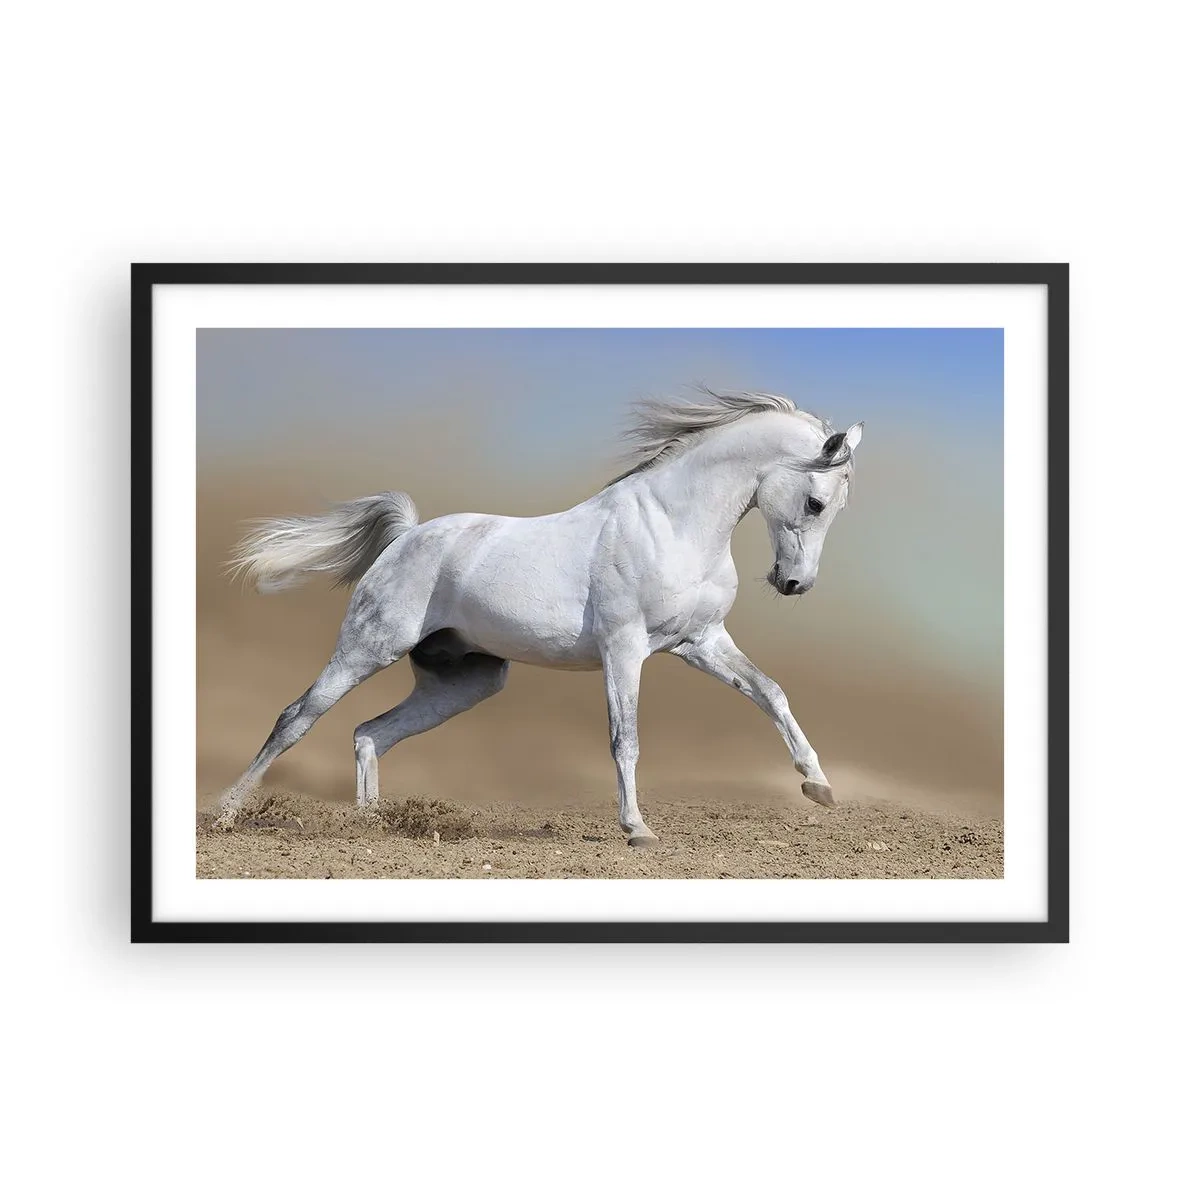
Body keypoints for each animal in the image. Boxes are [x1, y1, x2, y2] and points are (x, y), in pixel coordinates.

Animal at [216, 390, 863, 845]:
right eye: (816, 502)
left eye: (834, 508)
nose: (794, 583)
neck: (673, 524)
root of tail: (406, 537)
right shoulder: (624, 649)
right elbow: (625, 738)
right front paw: (637, 829)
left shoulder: (700, 642)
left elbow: (771, 693)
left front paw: (819, 786)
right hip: (366, 648)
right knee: (296, 718)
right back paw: (226, 813)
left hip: (466, 682)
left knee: (370, 733)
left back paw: (372, 825)